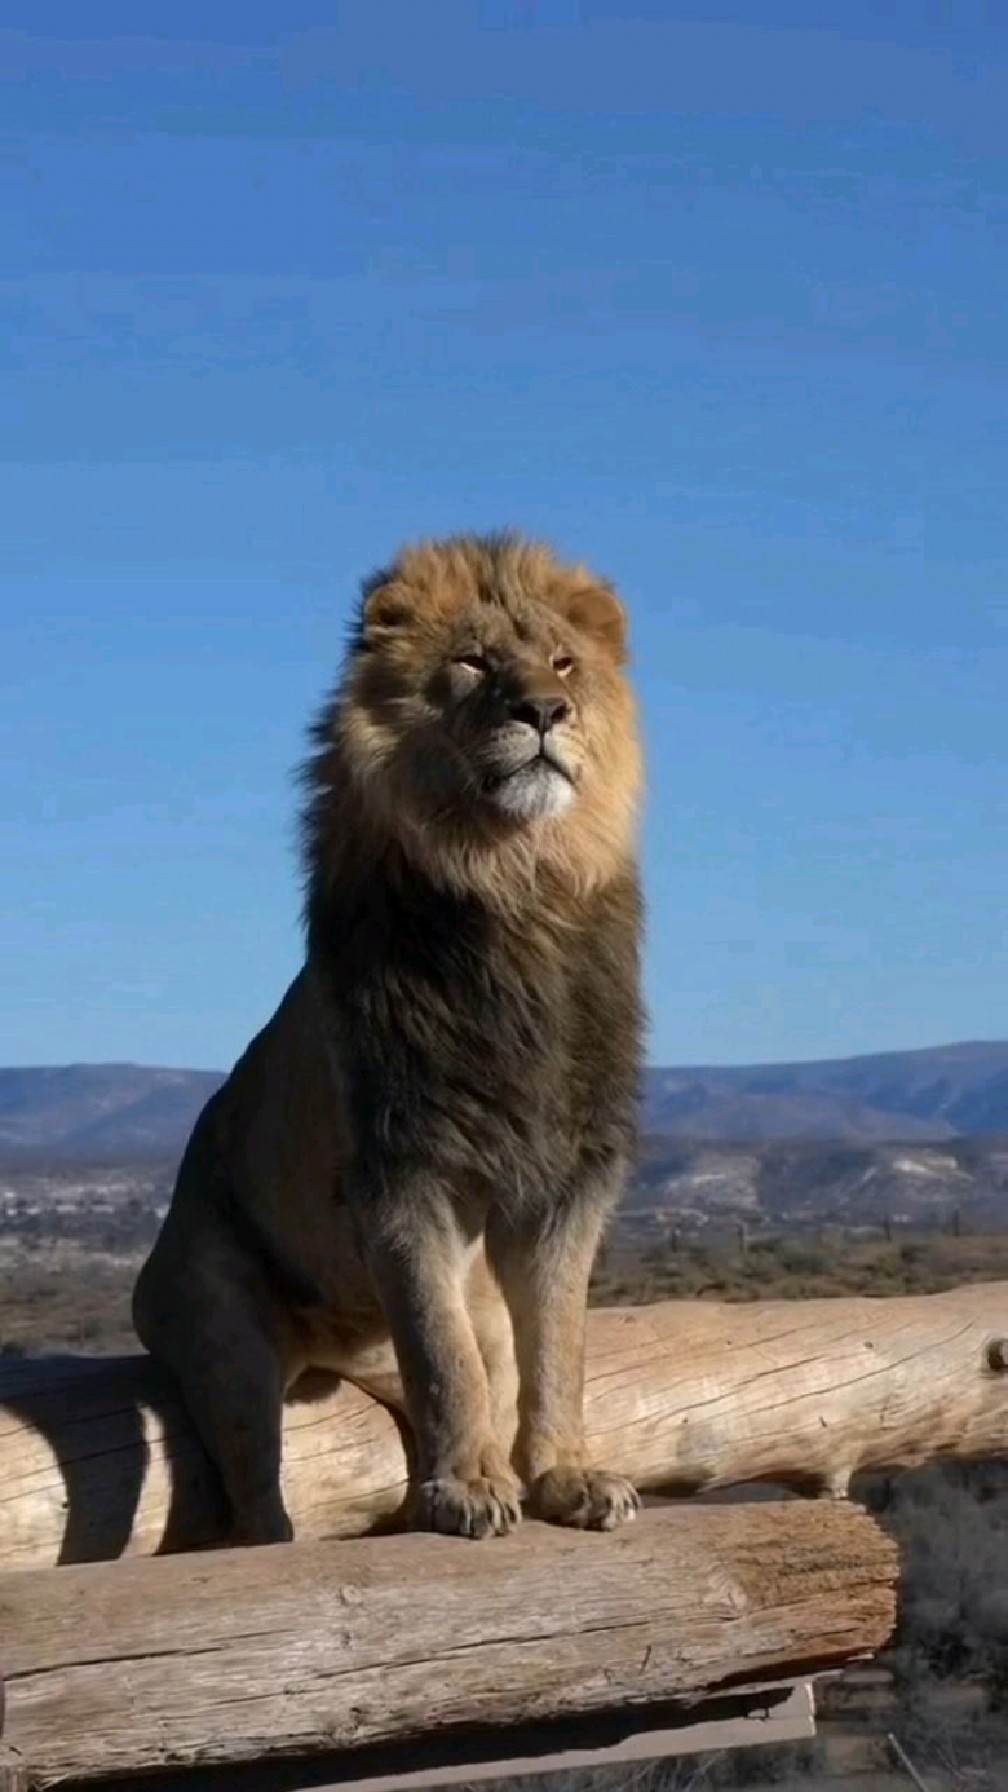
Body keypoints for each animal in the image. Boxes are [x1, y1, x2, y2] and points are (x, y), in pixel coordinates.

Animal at [131, 526, 642, 1541]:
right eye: (474, 663)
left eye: (564, 664)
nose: (544, 710)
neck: (517, 891)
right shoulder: (402, 1167)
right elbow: (442, 1356)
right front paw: (468, 1490)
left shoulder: (567, 1175)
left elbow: (557, 1348)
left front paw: (565, 1477)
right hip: (219, 1328)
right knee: (259, 1498)